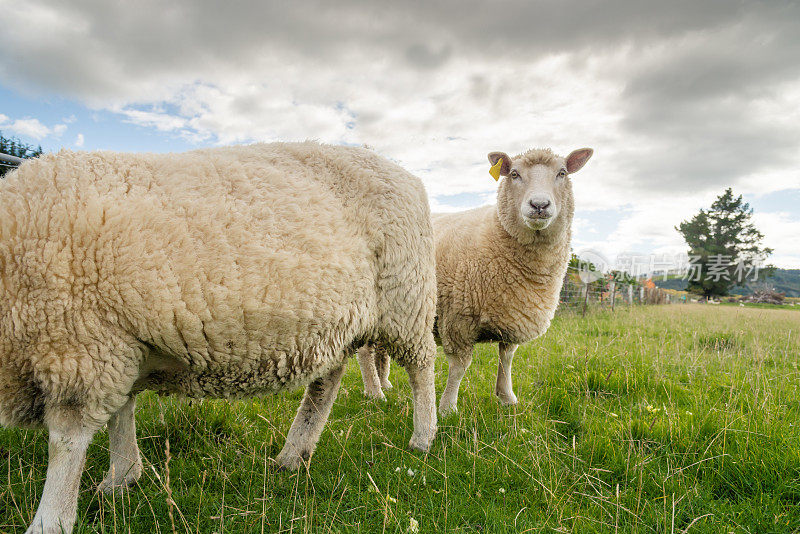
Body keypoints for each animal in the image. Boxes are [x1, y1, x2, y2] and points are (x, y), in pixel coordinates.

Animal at [0, 142, 438, 534]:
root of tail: (406, 174)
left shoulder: (76, 348)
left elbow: (66, 441)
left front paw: (51, 520)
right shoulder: (113, 344)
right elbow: (121, 412)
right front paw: (121, 477)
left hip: (405, 295)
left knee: (421, 365)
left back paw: (423, 436)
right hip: (340, 318)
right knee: (325, 384)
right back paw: (294, 453)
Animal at [360, 147, 592, 414]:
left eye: (562, 173)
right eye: (514, 174)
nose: (539, 205)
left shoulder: (511, 316)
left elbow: (507, 358)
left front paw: (507, 397)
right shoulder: (459, 317)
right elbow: (460, 366)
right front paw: (448, 407)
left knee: (380, 347)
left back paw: (384, 383)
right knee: (365, 351)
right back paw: (374, 392)